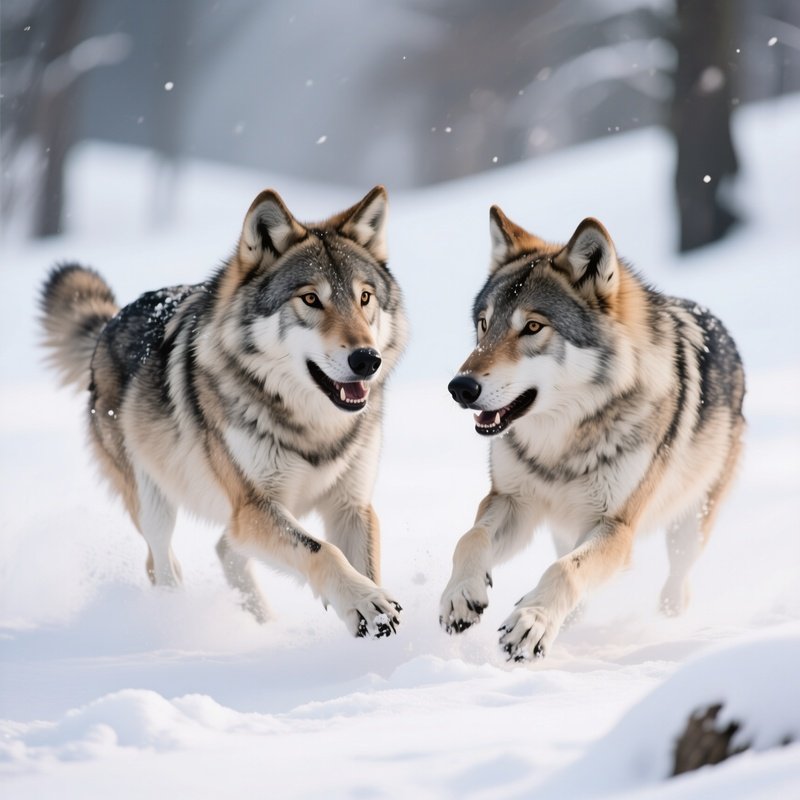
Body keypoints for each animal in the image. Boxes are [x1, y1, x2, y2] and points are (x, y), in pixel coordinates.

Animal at [40, 186, 408, 638]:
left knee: (224, 549)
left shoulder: (351, 506)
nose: (367, 359)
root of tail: (113, 320)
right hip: (153, 504)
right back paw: (172, 622)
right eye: (310, 299)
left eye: (364, 298)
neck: (313, 426)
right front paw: (364, 603)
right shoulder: (253, 507)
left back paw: (263, 626)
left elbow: (364, 565)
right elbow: (322, 551)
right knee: (161, 565)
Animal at [440, 207, 745, 660]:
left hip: (690, 521)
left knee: (678, 578)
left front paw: (531, 623)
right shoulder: (513, 501)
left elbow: (566, 571)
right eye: (483, 325)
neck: (561, 445)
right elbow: (470, 537)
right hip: (564, 527)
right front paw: (461, 595)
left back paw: (669, 613)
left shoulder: (616, 527)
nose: (460, 387)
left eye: (533, 327)